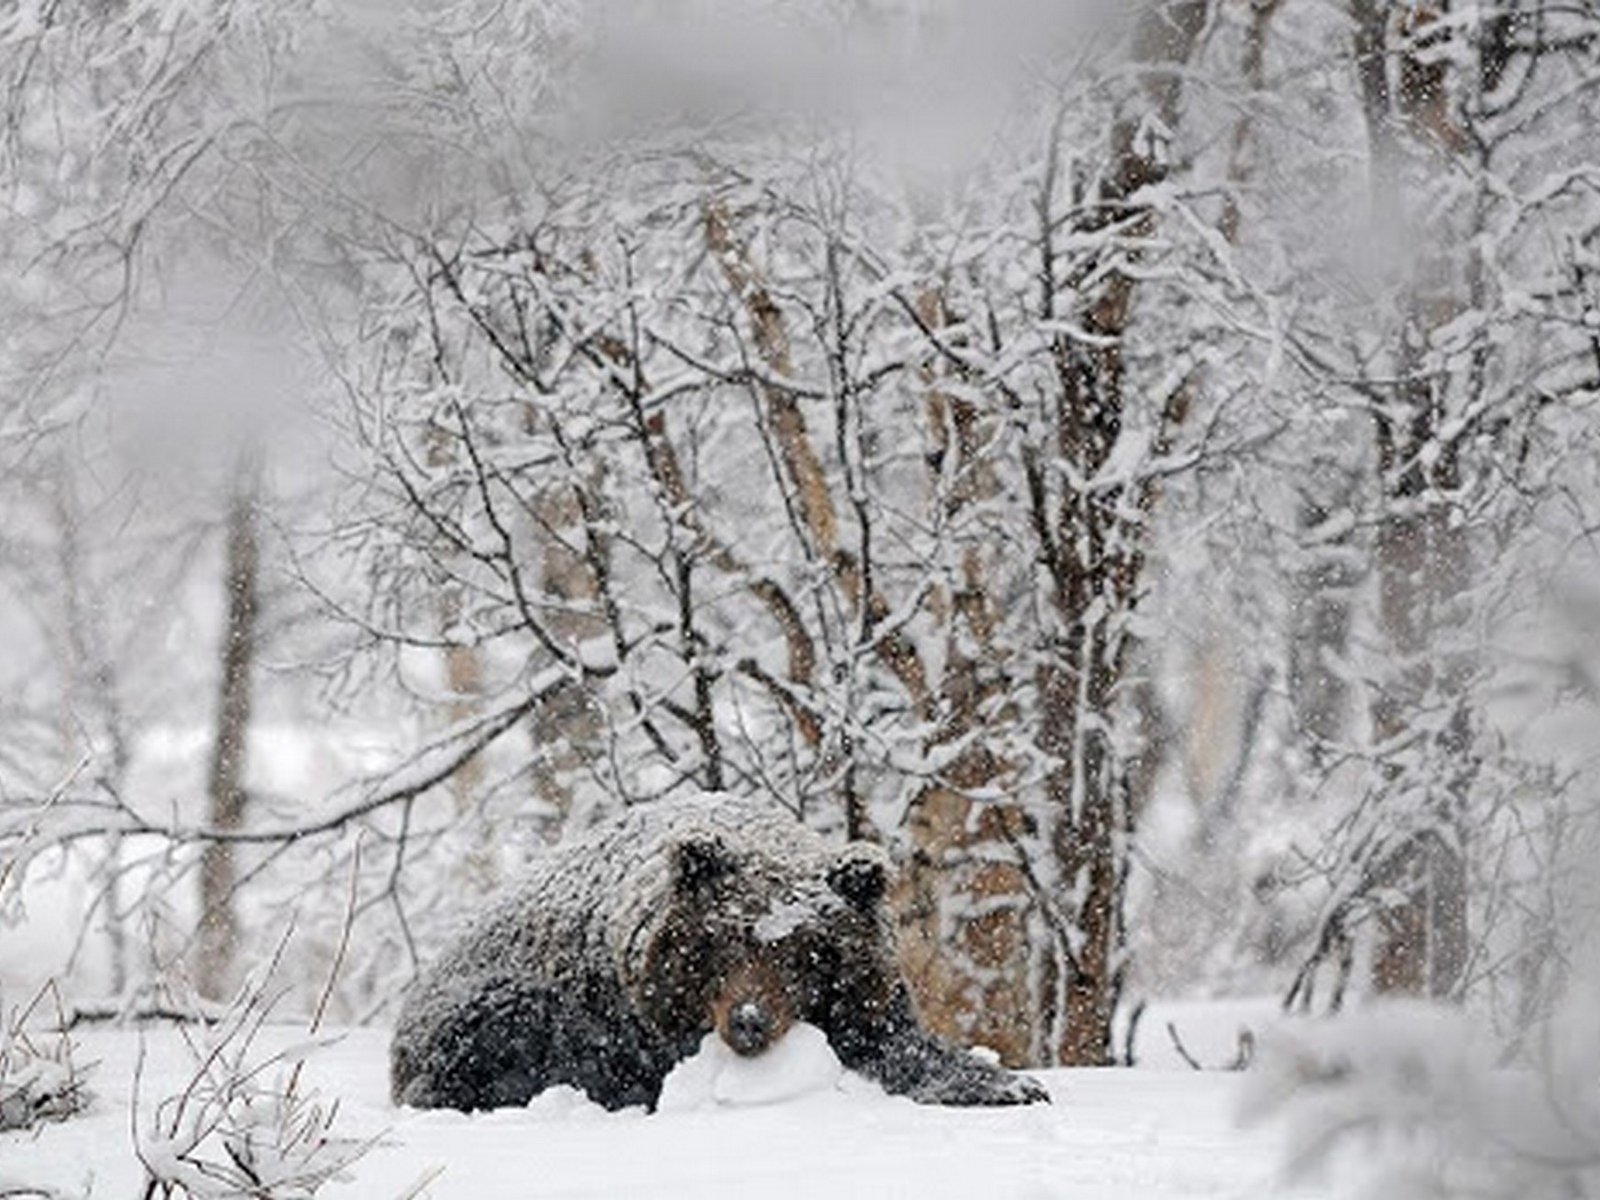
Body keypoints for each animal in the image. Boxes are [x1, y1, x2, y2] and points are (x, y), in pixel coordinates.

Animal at [390, 793, 1049, 1113]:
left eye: (807, 954)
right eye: (722, 943)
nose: (749, 1022)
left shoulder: (866, 996)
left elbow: (894, 1041)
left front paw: (1006, 1084)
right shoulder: (632, 1017)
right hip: (491, 1009)